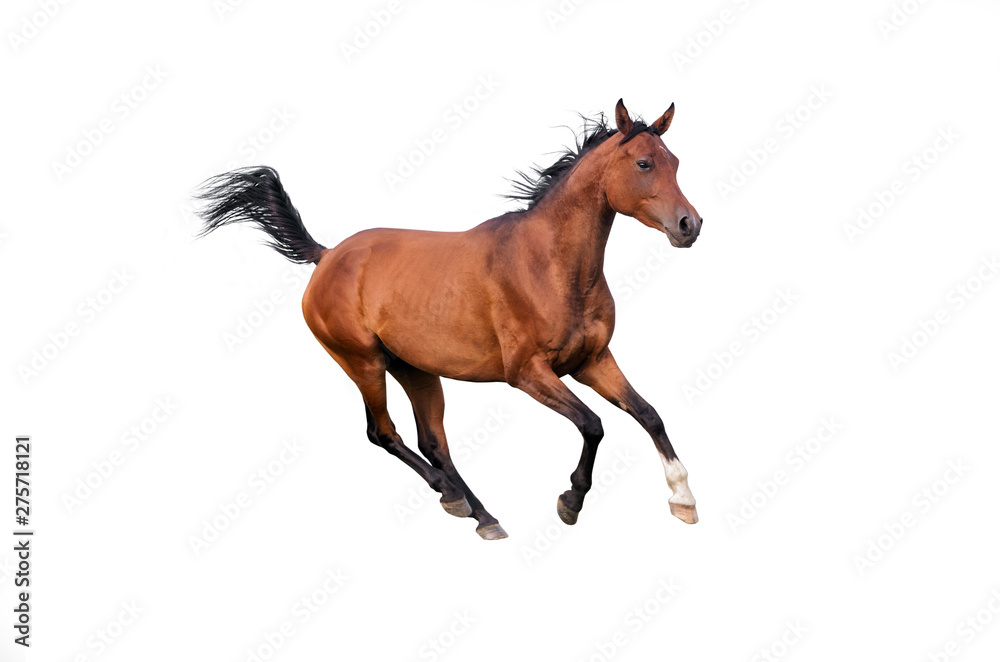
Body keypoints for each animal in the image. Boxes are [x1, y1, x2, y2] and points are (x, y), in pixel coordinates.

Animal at [197, 101, 704, 544]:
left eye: (676, 162)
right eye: (644, 163)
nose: (690, 225)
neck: (549, 264)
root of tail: (327, 255)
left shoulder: (592, 361)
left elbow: (649, 414)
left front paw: (684, 500)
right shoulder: (527, 373)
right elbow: (593, 424)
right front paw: (571, 501)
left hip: (416, 370)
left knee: (433, 442)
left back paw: (478, 513)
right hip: (363, 363)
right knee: (384, 433)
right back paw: (457, 498)